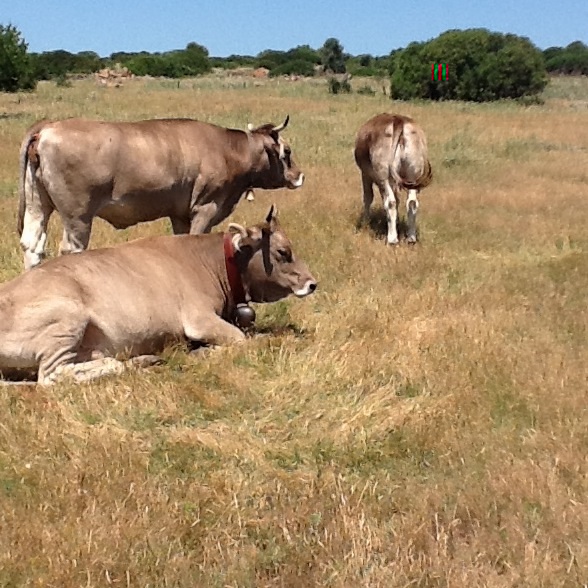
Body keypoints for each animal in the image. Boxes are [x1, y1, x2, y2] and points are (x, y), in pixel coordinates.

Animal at [0, 205, 317, 385]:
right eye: (283, 252)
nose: (312, 283)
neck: (210, 260)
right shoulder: (199, 319)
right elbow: (242, 341)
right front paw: (204, 352)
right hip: (67, 319)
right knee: (52, 377)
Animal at [17, 114, 304, 270]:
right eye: (288, 151)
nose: (299, 175)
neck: (228, 150)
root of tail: (48, 127)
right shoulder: (205, 209)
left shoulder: (179, 215)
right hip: (78, 216)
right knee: (70, 248)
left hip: (37, 205)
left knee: (32, 246)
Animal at [354, 113, 432, 245]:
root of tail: (398, 120)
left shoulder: (365, 174)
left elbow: (368, 197)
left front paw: (365, 224)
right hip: (413, 174)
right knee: (412, 202)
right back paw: (411, 238)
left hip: (384, 174)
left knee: (391, 202)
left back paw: (392, 239)